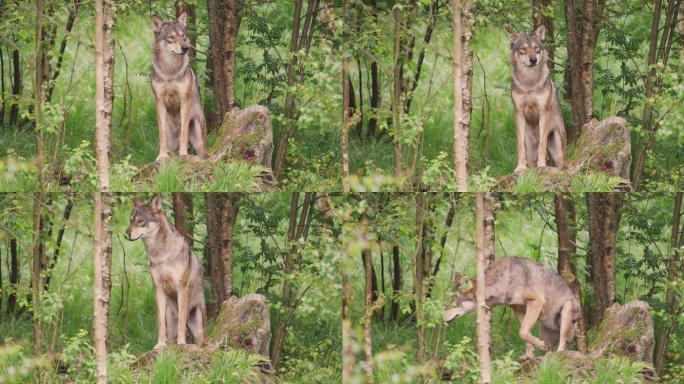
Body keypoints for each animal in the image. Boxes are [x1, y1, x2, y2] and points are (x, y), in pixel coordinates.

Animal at [126, 196, 206, 350]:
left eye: (140, 221)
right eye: (130, 220)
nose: (126, 233)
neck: (161, 255)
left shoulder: (181, 287)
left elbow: (181, 322)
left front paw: (182, 343)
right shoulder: (158, 288)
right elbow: (160, 323)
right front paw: (159, 345)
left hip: (199, 331)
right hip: (171, 322)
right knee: (171, 337)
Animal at [152, 12, 208, 161]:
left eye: (183, 36)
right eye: (171, 37)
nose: (185, 47)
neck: (170, 70)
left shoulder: (184, 99)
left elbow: (184, 132)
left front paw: (183, 154)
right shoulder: (159, 101)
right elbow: (161, 136)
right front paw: (161, 156)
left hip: (199, 140)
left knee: (204, 153)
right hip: (171, 140)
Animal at [508, 24, 568, 172]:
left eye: (536, 49)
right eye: (523, 49)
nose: (533, 60)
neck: (529, 83)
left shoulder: (543, 111)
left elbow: (542, 144)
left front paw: (542, 165)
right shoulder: (518, 113)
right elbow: (519, 147)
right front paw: (520, 167)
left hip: (558, 153)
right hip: (530, 151)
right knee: (530, 161)